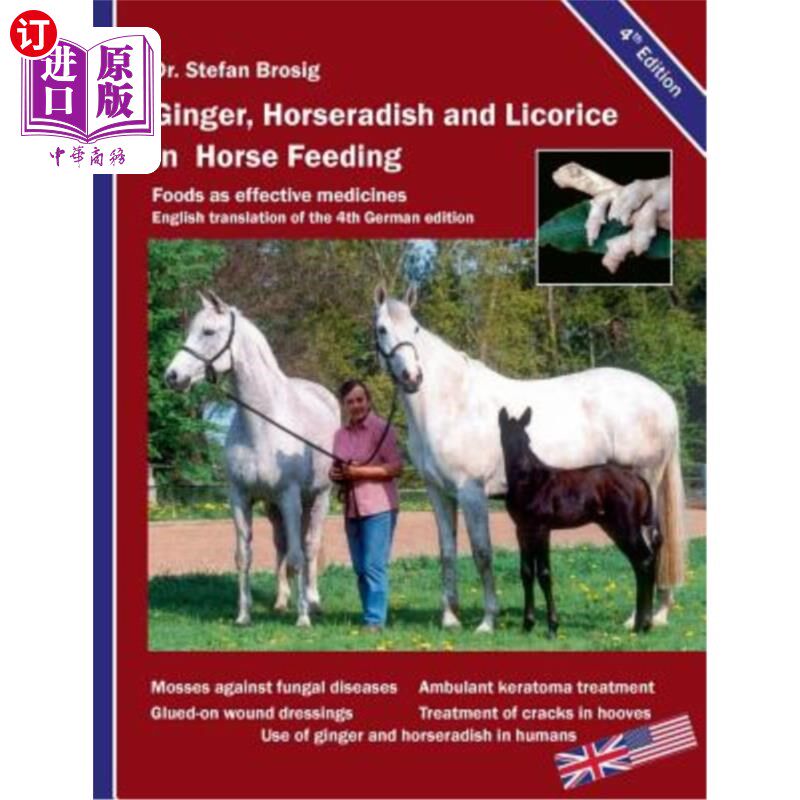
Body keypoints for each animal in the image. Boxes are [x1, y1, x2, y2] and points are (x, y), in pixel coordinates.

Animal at [164, 291, 339, 627]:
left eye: (208, 332)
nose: (173, 376)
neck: (262, 424)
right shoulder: (240, 497)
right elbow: (244, 556)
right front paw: (243, 615)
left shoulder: (290, 496)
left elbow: (299, 556)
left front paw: (302, 618)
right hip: (274, 507)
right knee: (282, 545)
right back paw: (282, 601)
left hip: (318, 497)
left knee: (310, 547)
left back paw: (313, 602)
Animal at [499, 407, 662, 634]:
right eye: (507, 438)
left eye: (527, 439)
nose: (522, 469)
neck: (530, 483)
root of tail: (638, 479)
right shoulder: (522, 529)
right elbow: (526, 572)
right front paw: (527, 624)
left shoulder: (542, 528)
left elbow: (544, 573)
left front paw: (552, 626)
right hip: (613, 526)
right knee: (639, 562)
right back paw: (641, 623)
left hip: (626, 525)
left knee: (645, 560)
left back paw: (642, 625)